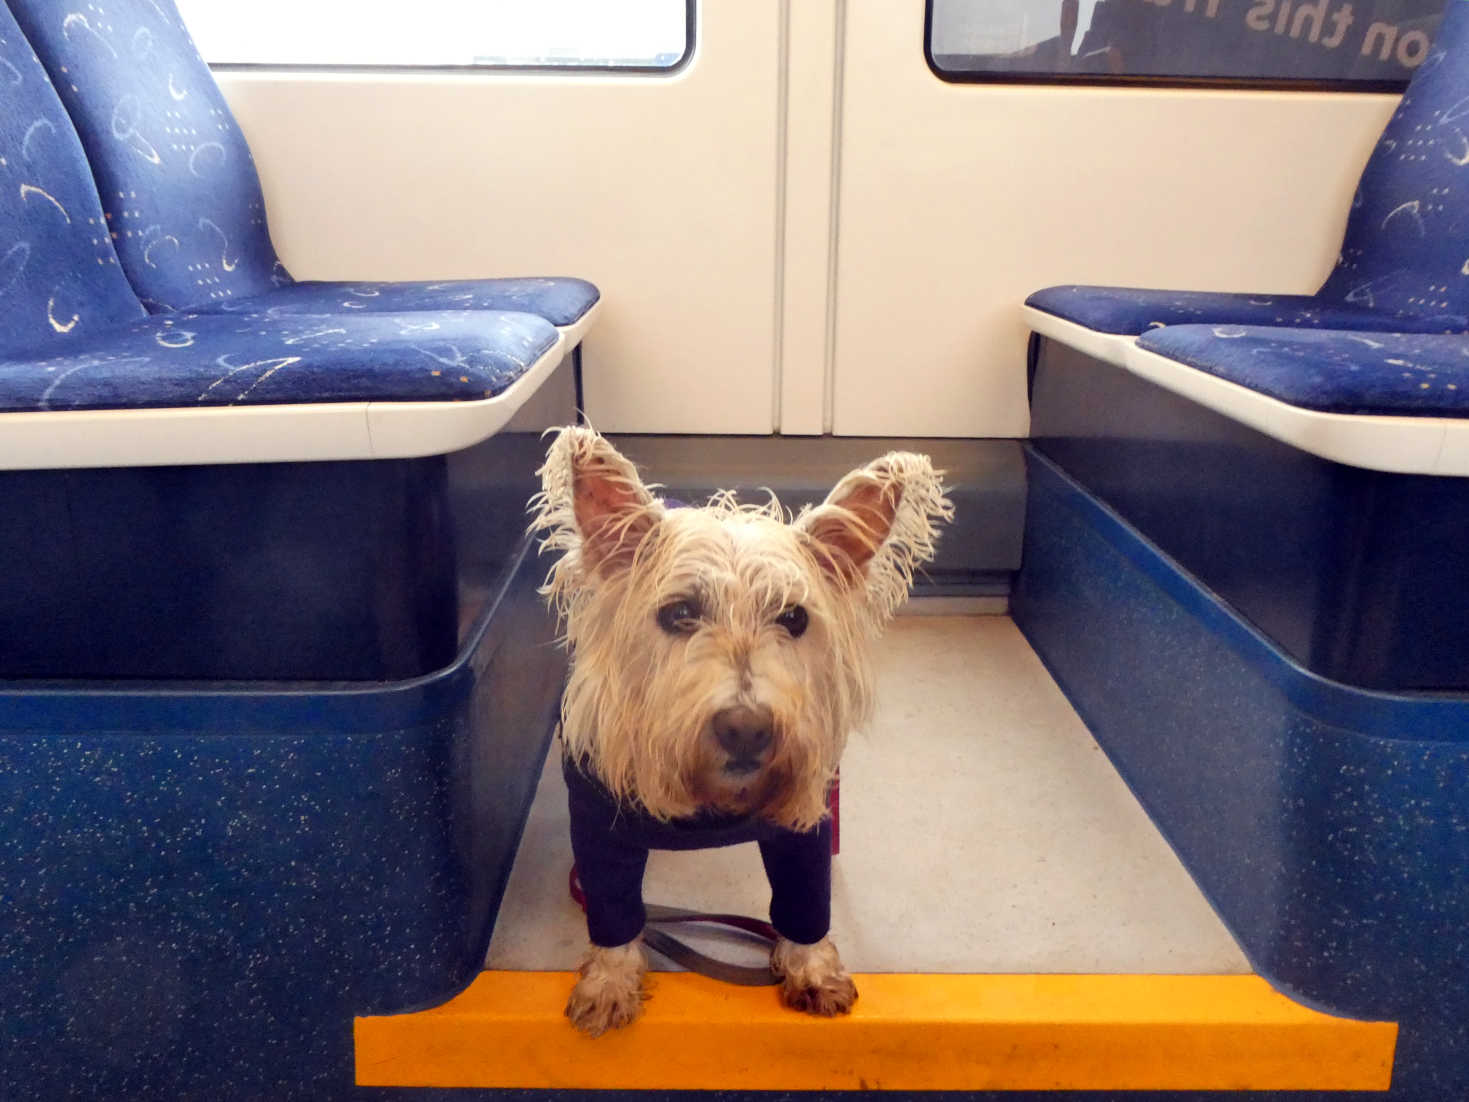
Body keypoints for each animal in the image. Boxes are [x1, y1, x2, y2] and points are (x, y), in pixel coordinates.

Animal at [528, 426, 951, 1040]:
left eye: (794, 618)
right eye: (679, 612)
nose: (748, 730)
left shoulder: (804, 829)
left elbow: (805, 902)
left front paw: (810, 966)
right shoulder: (599, 822)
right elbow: (613, 911)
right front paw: (609, 981)